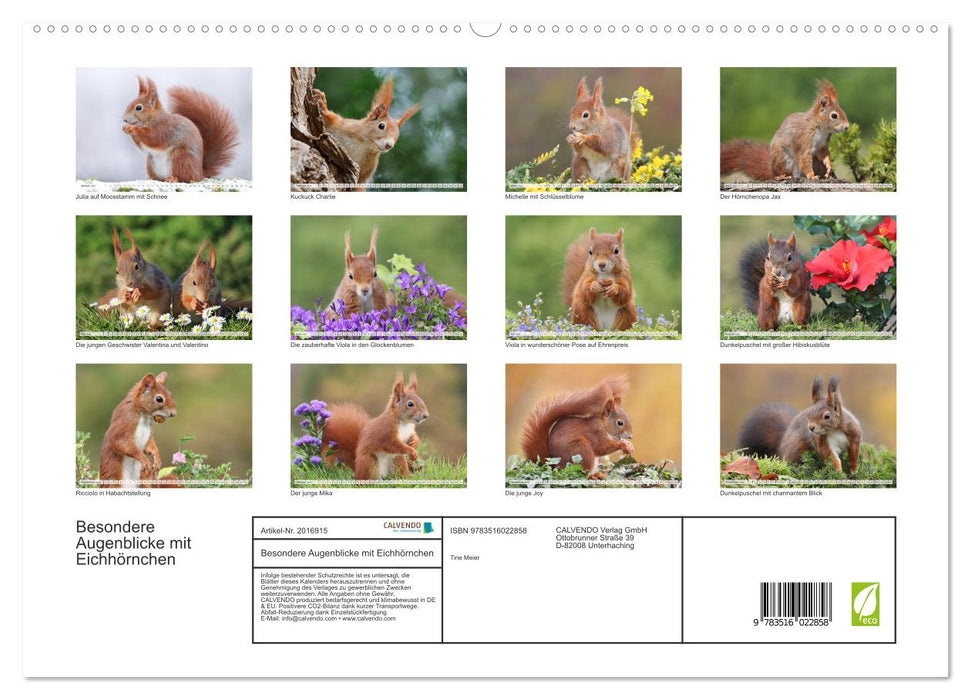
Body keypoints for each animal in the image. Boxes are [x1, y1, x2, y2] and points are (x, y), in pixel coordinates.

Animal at [721, 79, 849, 181]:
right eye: (834, 115)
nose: (847, 127)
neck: (821, 129)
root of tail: (772, 169)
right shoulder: (803, 139)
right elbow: (804, 158)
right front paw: (811, 175)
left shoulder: (822, 145)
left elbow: (824, 155)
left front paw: (829, 167)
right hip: (784, 160)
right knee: (781, 173)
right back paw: (782, 176)